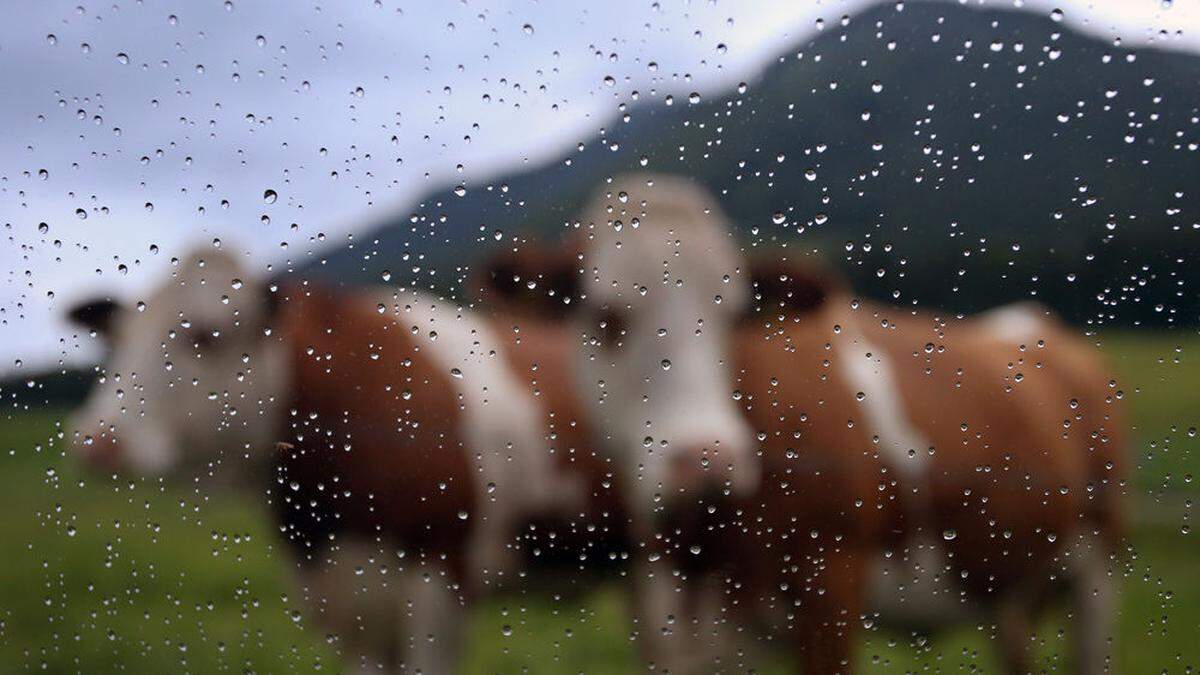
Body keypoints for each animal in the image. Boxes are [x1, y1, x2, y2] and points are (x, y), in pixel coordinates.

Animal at [468, 171, 1123, 667]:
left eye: (735, 316)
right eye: (606, 316)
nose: (708, 458)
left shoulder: (832, 588)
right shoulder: (674, 621)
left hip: (1099, 564)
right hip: (1011, 585)